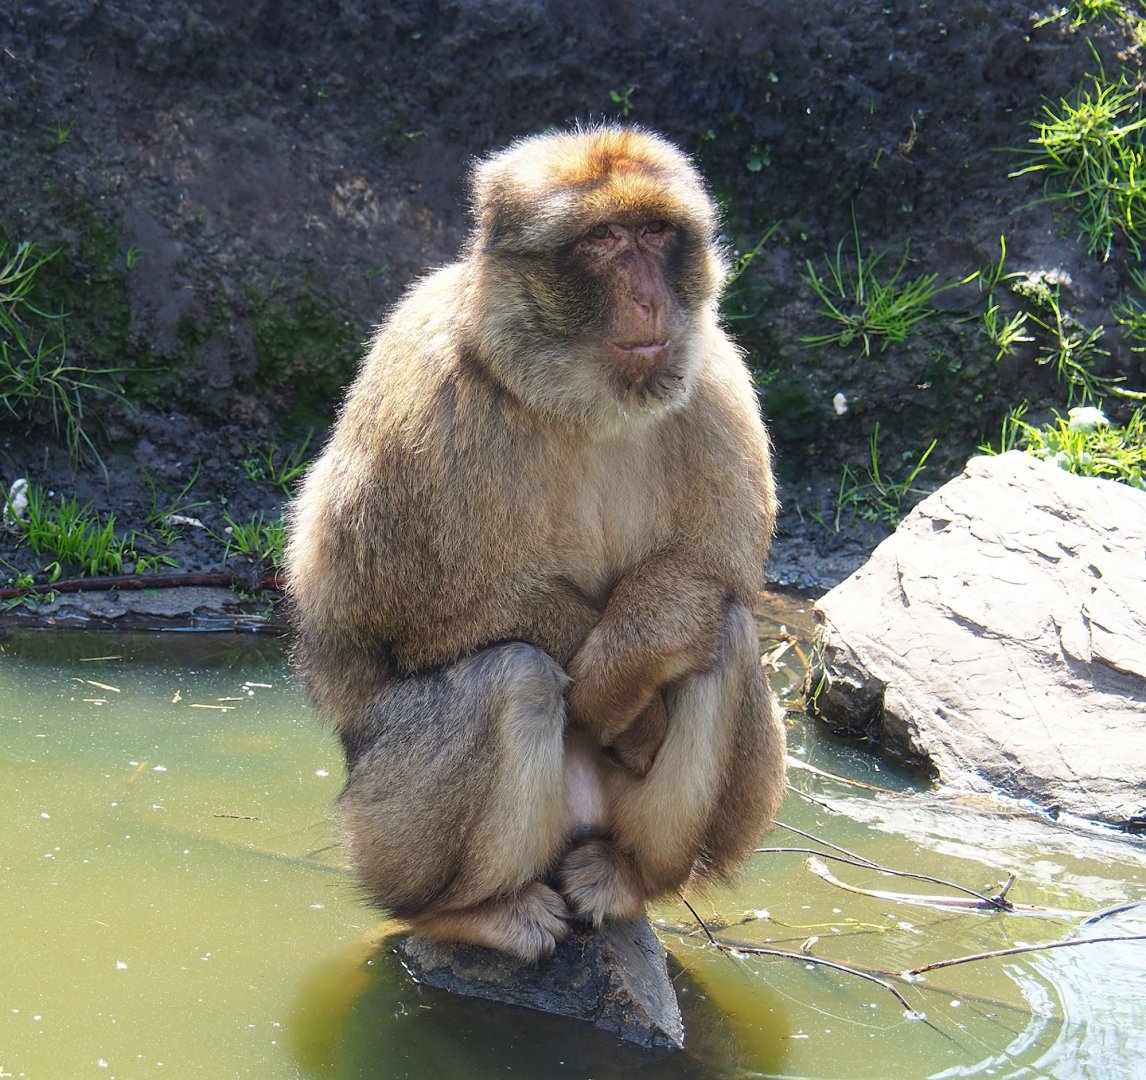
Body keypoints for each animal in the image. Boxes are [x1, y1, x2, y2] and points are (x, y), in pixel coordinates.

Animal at [284, 124, 786, 962]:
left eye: (656, 233)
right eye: (605, 239)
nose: (650, 297)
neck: (579, 403)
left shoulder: (716, 379)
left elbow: (717, 573)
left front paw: (635, 665)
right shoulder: (421, 381)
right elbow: (387, 601)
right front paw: (622, 701)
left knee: (728, 631)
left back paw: (624, 874)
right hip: (380, 832)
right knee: (513, 675)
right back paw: (470, 913)